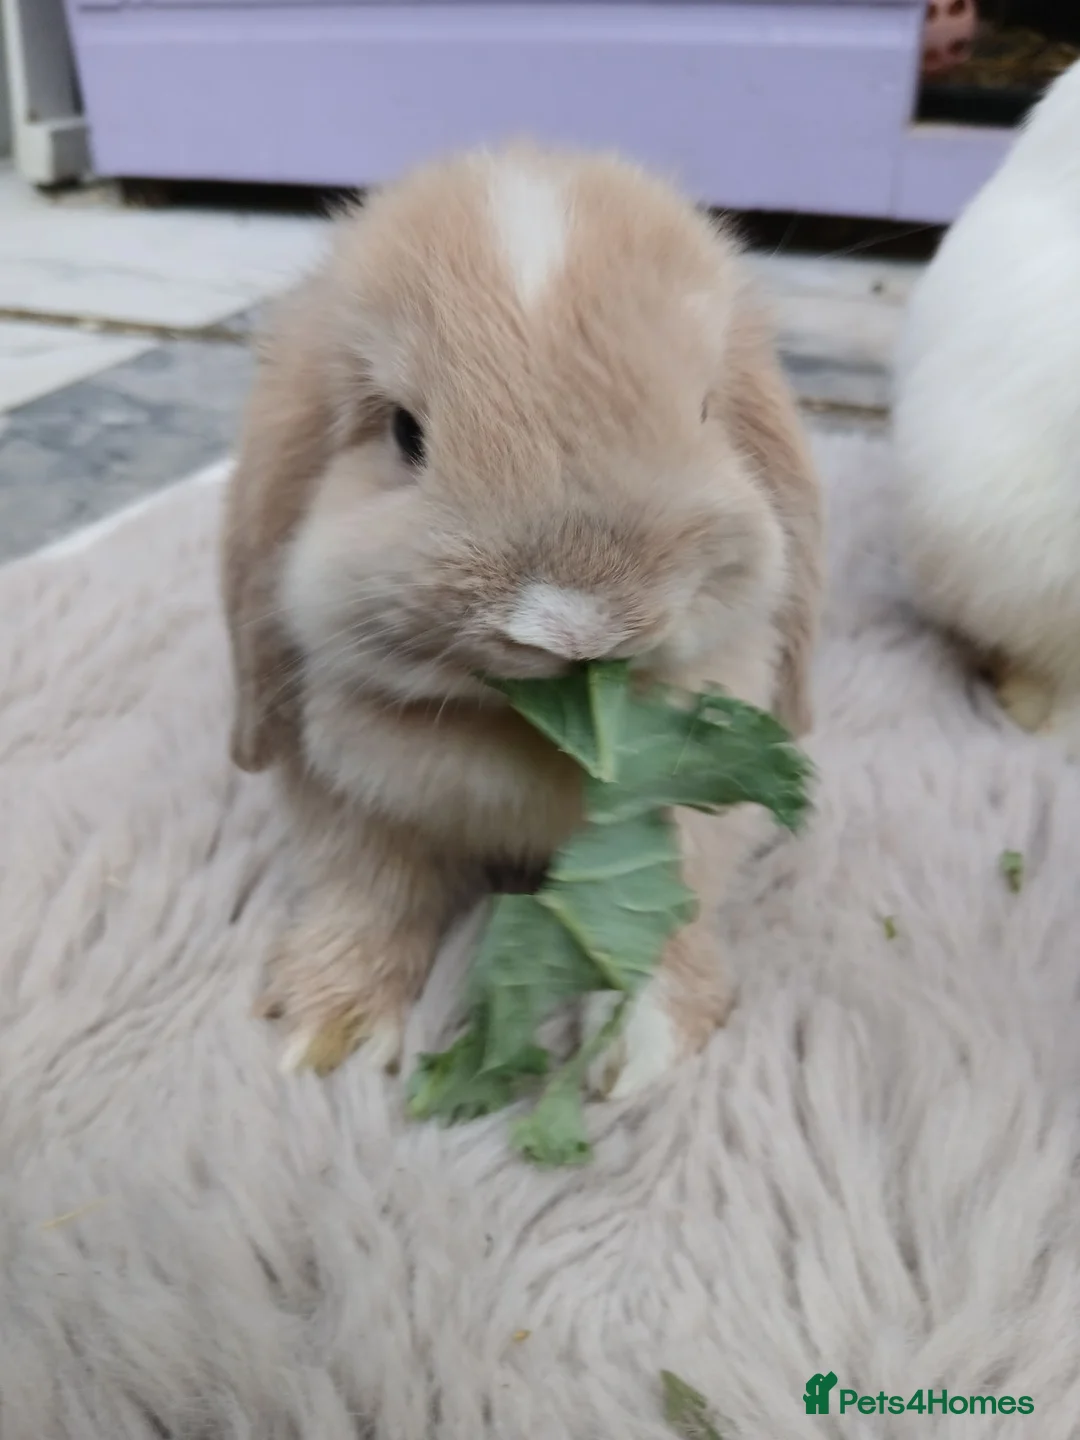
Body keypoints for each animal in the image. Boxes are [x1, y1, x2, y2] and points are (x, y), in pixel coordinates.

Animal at [220, 142, 823, 1098]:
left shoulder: (688, 824)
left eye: (702, 412)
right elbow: (370, 894)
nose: (576, 622)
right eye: (405, 432)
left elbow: (672, 915)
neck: (528, 736)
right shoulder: (348, 802)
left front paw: (639, 1056)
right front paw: (330, 1031)